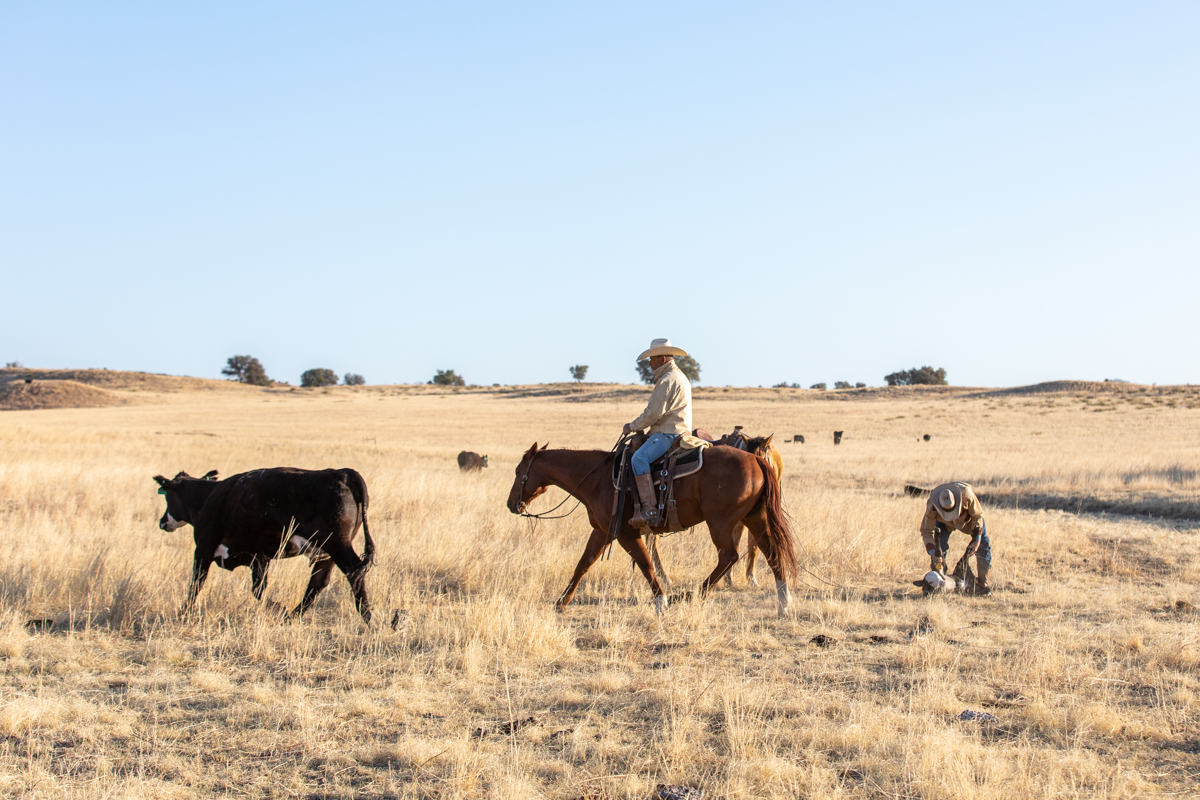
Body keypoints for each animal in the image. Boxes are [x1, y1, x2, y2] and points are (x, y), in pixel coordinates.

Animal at [152, 465, 374, 623]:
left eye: (168, 496)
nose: (162, 521)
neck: (207, 497)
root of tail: (340, 473)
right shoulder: (259, 558)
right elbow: (258, 589)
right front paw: (280, 608)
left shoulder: (203, 549)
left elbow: (196, 583)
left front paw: (183, 613)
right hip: (327, 552)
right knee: (318, 582)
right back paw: (292, 616)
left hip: (337, 545)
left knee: (353, 571)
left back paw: (367, 617)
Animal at [506, 441, 796, 618]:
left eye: (519, 470)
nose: (511, 504)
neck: (598, 479)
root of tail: (757, 460)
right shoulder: (601, 531)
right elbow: (583, 565)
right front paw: (561, 603)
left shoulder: (625, 534)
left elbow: (646, 564)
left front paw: (661, 601)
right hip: (754, 518)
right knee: (770, 552)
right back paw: (784, 602)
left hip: (721, 522)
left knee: (729, 556)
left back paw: (691, 595)